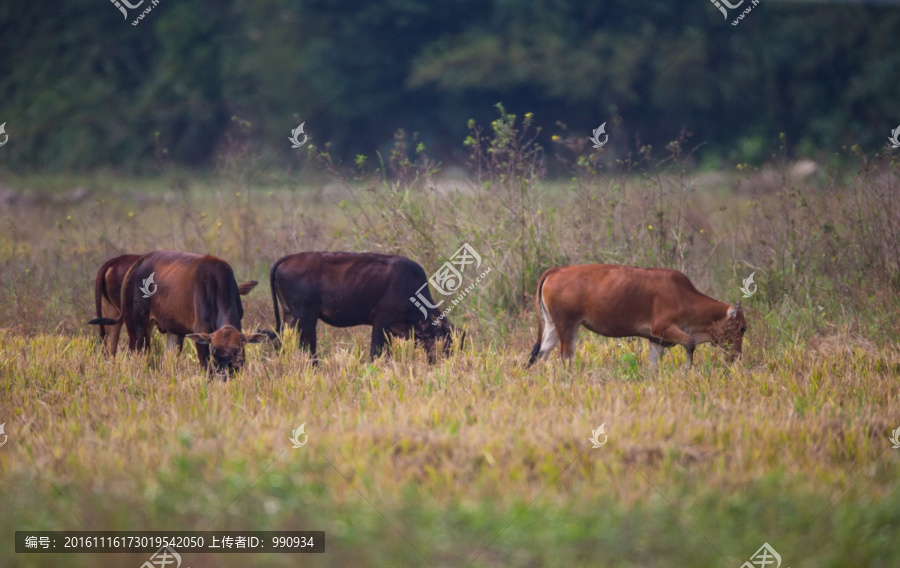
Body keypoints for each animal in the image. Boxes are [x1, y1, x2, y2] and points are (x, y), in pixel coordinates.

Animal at [88, 251, 268, 374]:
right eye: (214, 352)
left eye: (237, 352)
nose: (224, 375)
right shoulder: (200, 333)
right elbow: (206, 368)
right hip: (137, 328)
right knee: (135, 355)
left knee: (109, 351)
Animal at [268, 252, 458, 364]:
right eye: (447, 340)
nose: (447, 362)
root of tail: (289, 258)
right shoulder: (381, 319)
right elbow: (376, 351)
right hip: (306, 317)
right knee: (308, 347)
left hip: (289, 317)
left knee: (281, 343)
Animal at [528, 262, 744, 366]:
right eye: (742, 328)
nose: (738, 356)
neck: (685, 296)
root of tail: (556, 270)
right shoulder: (662, 328)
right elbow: (690, 343)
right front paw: (686, 369)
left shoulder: (656, 340)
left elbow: (654, 366)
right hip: (567, 324)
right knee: (566, 356)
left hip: (553, 326)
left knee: (540, 355)